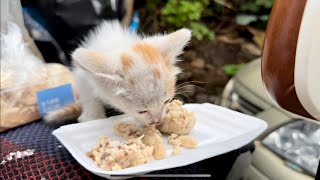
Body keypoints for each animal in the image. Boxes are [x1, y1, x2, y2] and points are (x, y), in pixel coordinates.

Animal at [43, 20, 191, 126]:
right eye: (142, 111)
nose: (158, 121)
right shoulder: (81, 74)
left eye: (167, 101)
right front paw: (93, 116)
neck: (117, 44)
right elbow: (88, 94)